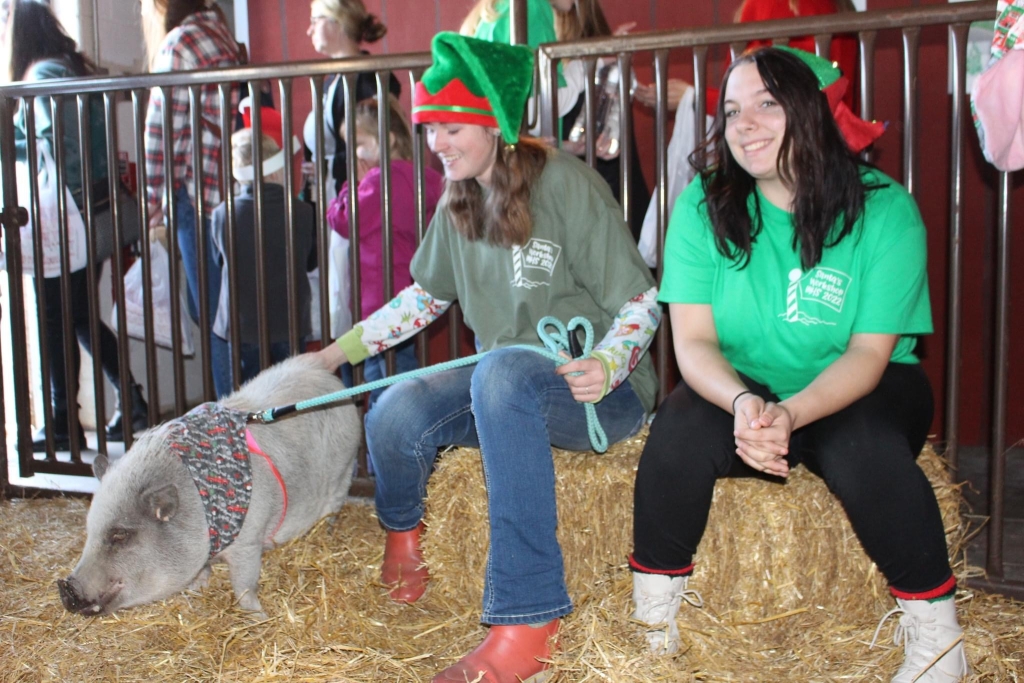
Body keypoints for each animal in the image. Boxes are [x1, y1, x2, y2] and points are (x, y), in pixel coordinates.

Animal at [57, 356, 360, 622]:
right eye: (90, 531)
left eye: (120, 535)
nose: (65, 587)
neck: (202, 507)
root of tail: (326, 374)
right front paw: (196, 587)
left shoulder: (249, 540)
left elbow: (244, 584)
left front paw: (258, 617)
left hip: (344, 470)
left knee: (333, 506)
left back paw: (326, 532)